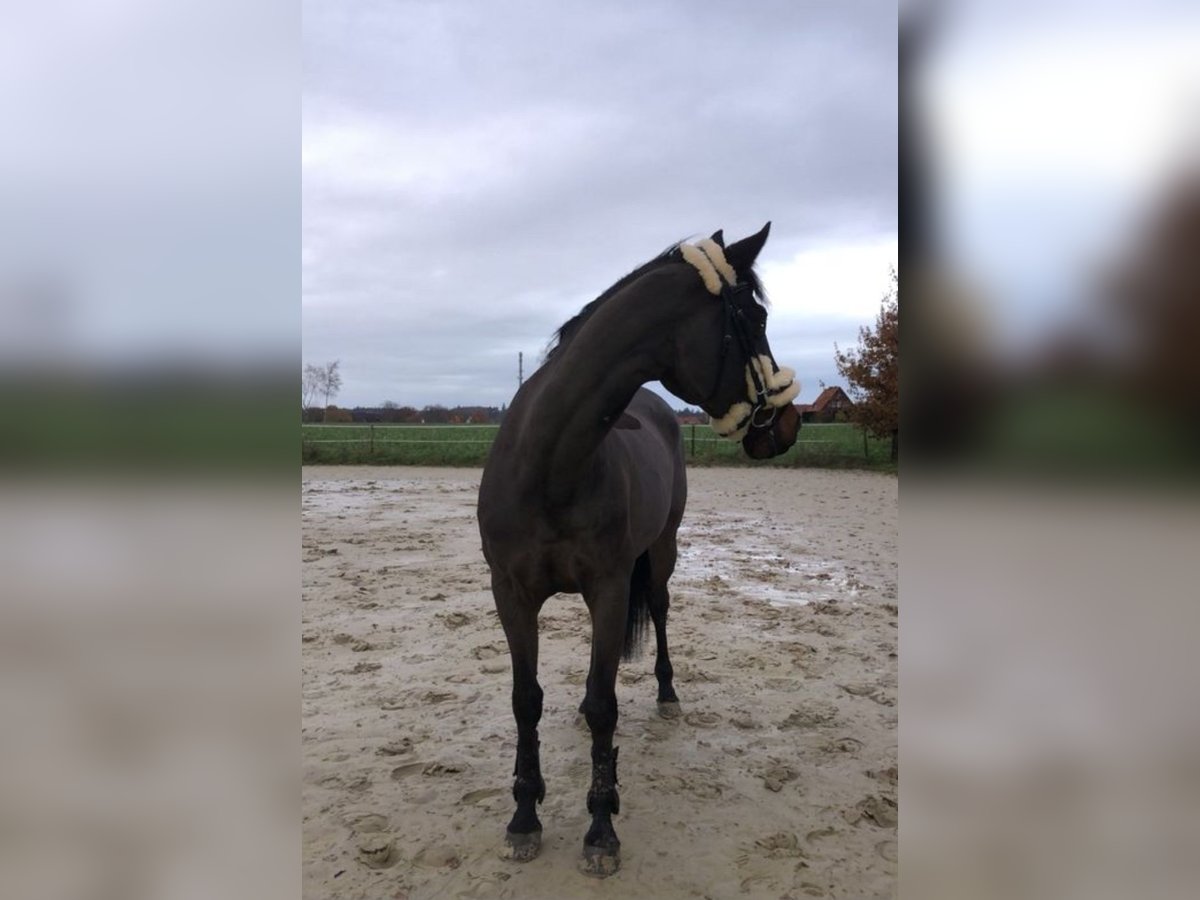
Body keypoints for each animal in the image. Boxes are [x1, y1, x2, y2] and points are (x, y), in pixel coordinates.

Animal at [476, 223, 801, 876]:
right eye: (753, 319)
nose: (786, 426)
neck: (549, 465)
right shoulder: (511, 593)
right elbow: (526, 700)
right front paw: (524, 816)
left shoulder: (608, 587)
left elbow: (606, 706)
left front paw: (601, 829)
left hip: (660, 556)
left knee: (659, 610)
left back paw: (668, 694)